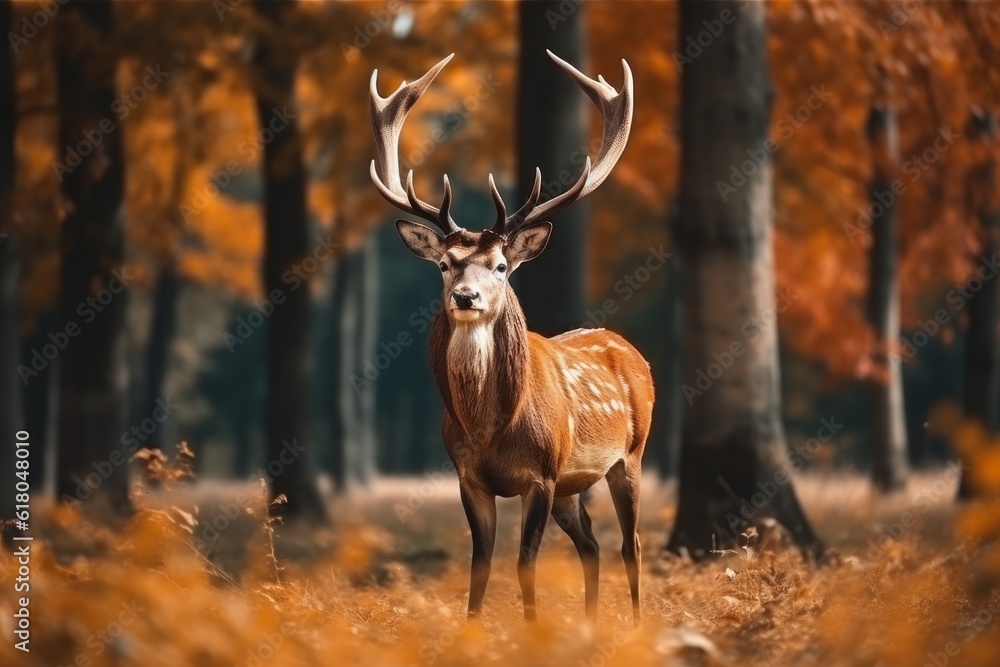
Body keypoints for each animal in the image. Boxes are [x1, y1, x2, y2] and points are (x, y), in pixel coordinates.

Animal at [369, 52, 652, 625]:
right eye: (445, 265)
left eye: (501, 266)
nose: (466, 297)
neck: (488, 431)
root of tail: (633, 351)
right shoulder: (469, 478)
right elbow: (479, 567)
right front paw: (473, 631)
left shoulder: (539, 475)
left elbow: (525, 564)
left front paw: (531, 629)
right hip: (572, 484)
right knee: (591, 544)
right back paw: (590, 624)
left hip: (629, 456)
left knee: (630, 545)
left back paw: (635, 626)